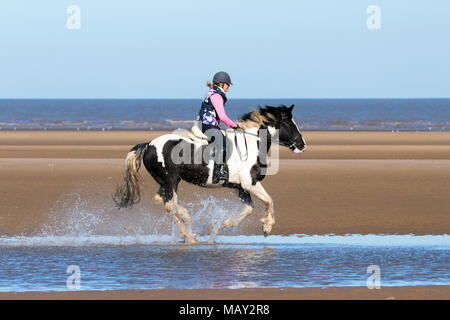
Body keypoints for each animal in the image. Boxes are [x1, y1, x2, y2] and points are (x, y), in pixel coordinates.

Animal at [114, 104, 308, 242]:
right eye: (289, 123)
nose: (302, 145)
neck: (251, 144)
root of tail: (149, 144)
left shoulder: (240, 187)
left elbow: (248, 209)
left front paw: (224, 224)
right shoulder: (249, 183)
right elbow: (269, 201)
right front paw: (267, 227)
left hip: (166, 182)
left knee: (163, 201)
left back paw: (186, 223)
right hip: (171, 180)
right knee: (170, 205)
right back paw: (188, 233)